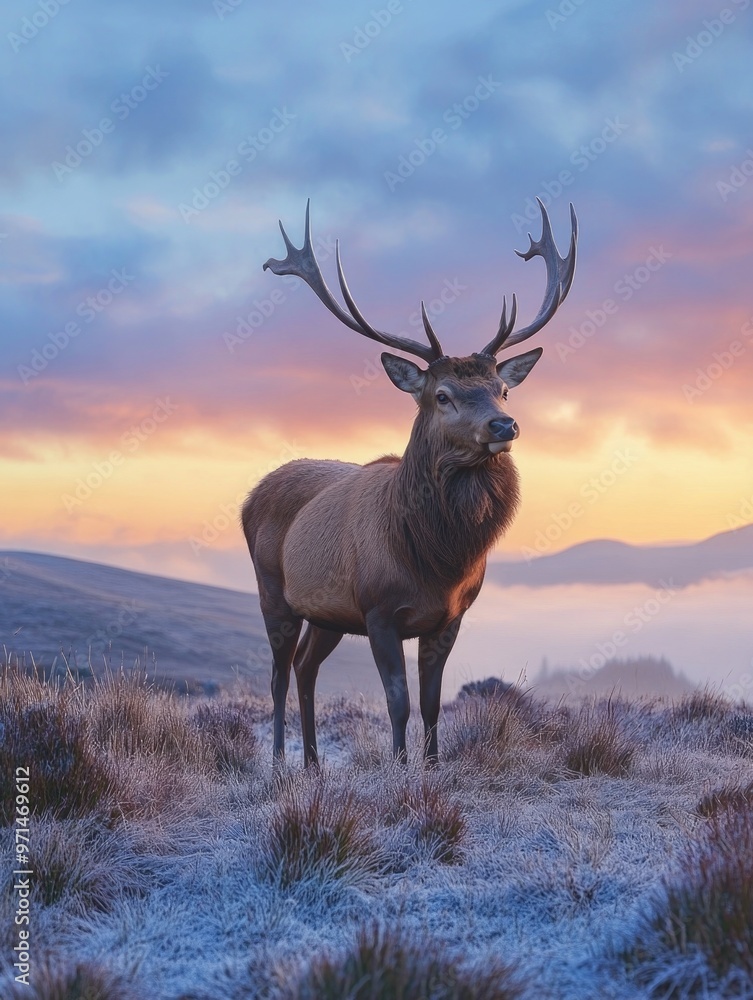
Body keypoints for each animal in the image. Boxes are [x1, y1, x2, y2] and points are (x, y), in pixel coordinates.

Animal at [242, 199, 577, 768]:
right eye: (442, 395)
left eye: (503, 389)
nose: (504, 426)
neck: (436, 559)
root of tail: (249, 497)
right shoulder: (379, 611)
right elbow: (397, 702)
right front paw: (399, 770)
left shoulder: (448, 616)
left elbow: (430, 704)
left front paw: (434, 766)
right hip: (273, 592)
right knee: (279, 676)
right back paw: (281, 762)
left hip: (327, 612)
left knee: (306, 669)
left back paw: (313, 764)